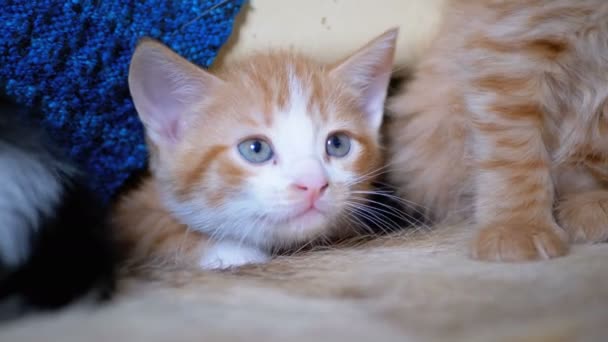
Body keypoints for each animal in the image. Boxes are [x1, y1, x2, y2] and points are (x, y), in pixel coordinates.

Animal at [113, 29, 400, 270]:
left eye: (338, 144)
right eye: (256, 149)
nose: (314, 184)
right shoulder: (127, 214)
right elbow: (152, 227)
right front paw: (230, 251)